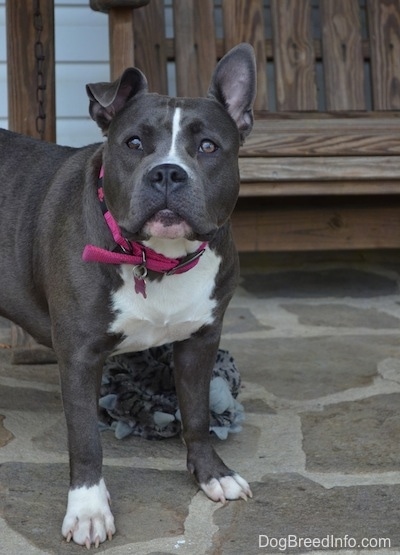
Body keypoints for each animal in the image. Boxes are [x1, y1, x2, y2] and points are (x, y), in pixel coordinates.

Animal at [0, 43, 256, 548]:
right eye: (134, 143)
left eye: (208, 147)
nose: (168, 174)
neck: (155, 260)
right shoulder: (79, 355)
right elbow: (85, 438)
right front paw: (88, 510)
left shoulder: (200, 341)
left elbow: (197, 414)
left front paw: (212, 474)